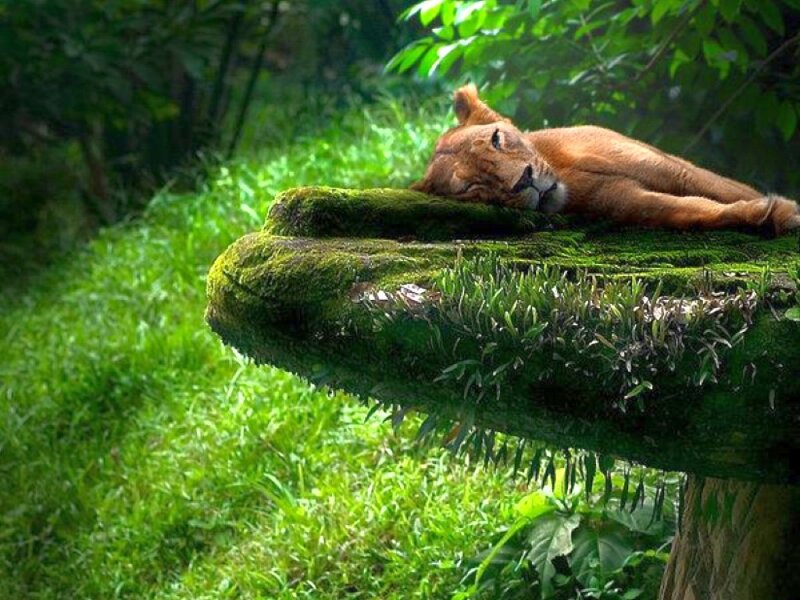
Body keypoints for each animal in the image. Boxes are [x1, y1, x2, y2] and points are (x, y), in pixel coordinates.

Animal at [413, 84, 800, 237]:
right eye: (473, 186)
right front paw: (769, 216)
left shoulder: (676, 169)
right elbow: (696, 211)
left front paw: (784, 212)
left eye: (496, 140)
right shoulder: (629, 203)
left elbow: (722, 189)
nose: (524, 180)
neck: (566, 172)